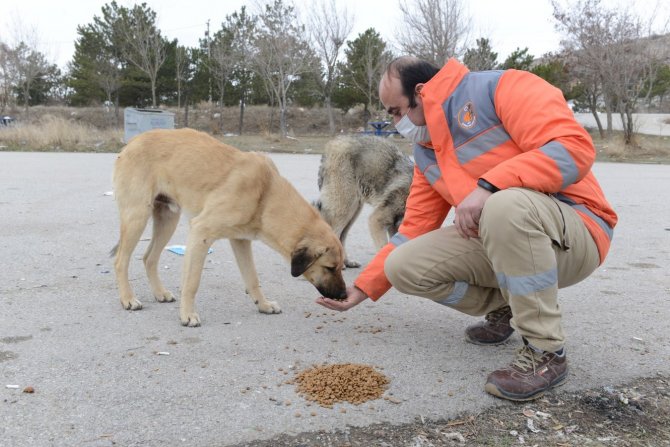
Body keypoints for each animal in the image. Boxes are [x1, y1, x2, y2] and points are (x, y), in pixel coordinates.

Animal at [110, 128, 346, 328]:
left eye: (339, 267)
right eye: (330, 267)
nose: (344, 295)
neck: (266, 194)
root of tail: (131, 143)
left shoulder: (241, 240)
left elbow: (252, 278)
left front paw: (263, 305)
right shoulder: (200, 233)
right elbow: (192, 282)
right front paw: (187, 314)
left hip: (167, 220)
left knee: (149, 258)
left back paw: (160, 293)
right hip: (137, 217)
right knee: (121, 260)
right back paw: (128, 299)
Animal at [316, 136, 414, 270]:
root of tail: (332, 144)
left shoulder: (393, 226)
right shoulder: (376, 220)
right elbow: (384, 248)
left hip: (355, 210)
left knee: (342, 236)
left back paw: (347, 262)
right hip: (345, 209)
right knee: (335, 232)